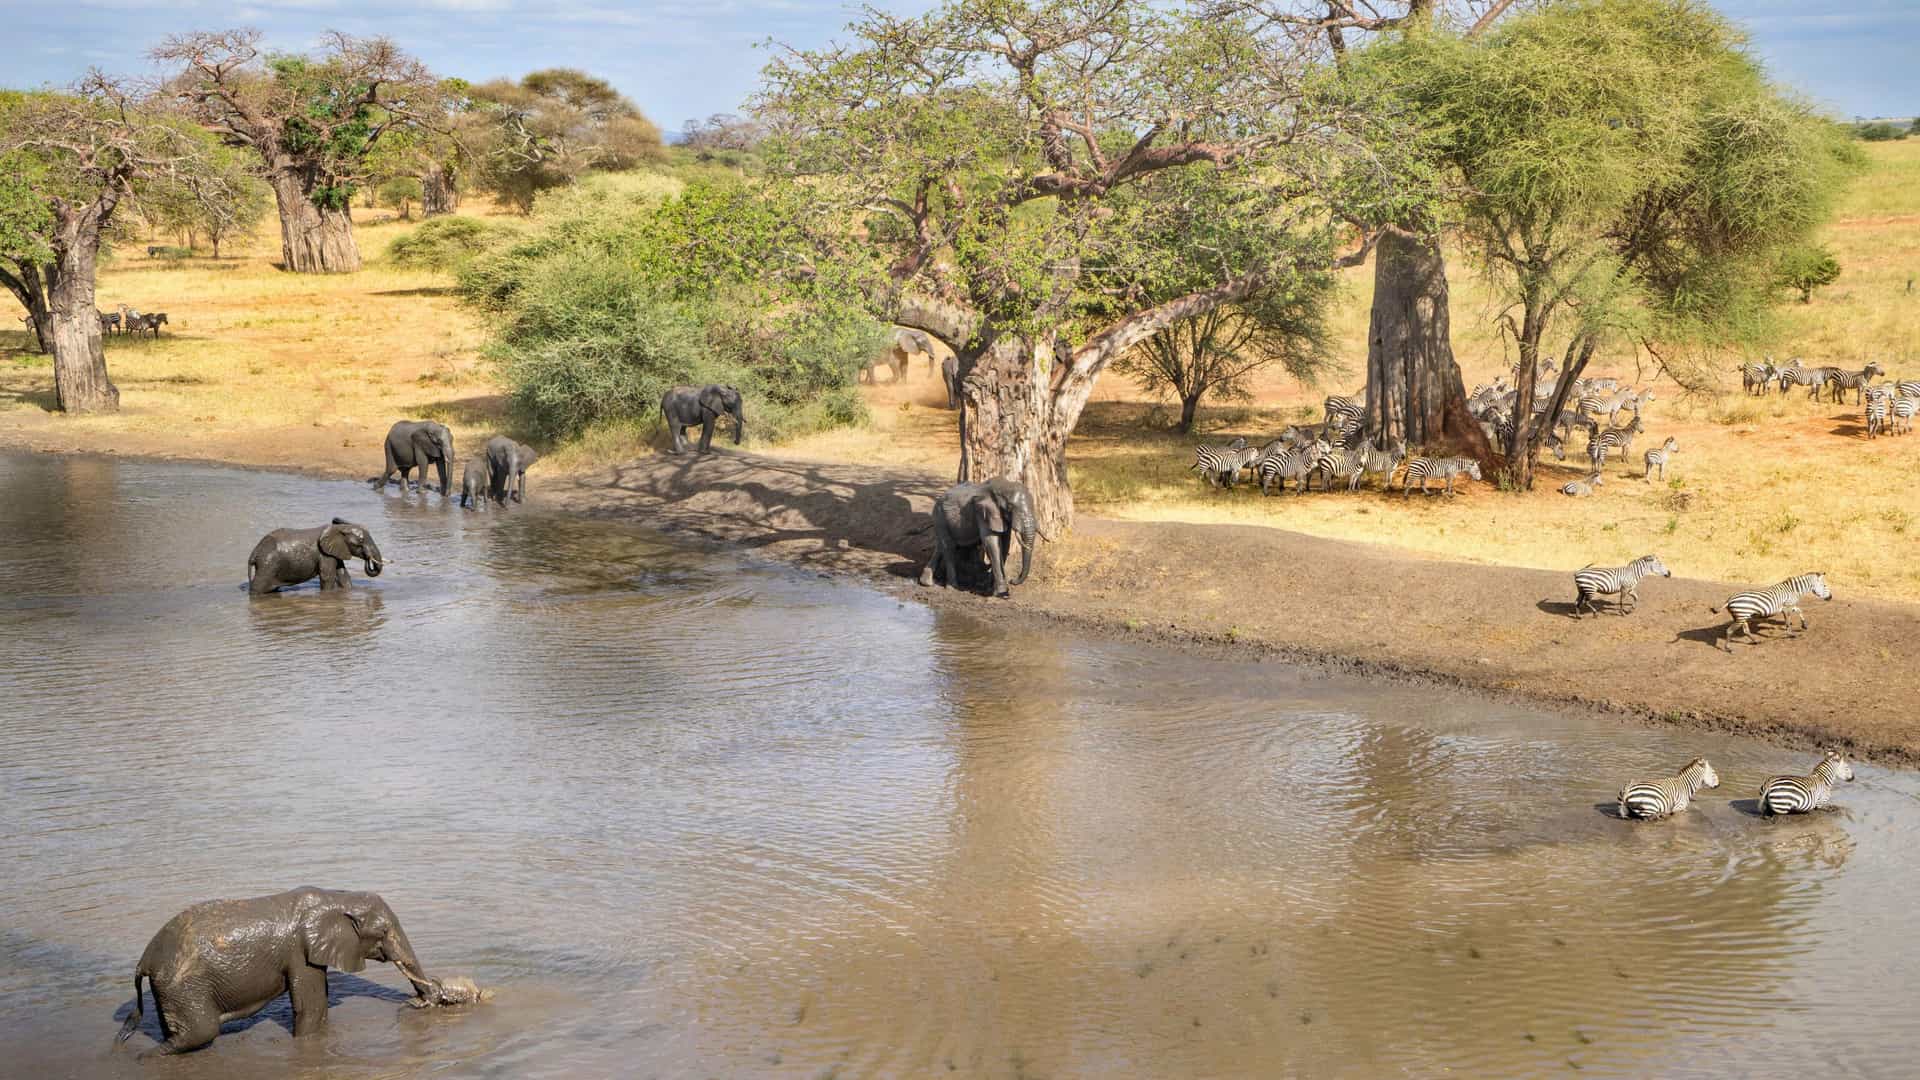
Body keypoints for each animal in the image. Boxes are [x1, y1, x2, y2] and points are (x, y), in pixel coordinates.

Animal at [116, 887, 477, 1056]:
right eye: (385, 932)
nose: (432, 997)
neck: (337, 897)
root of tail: (144, 960)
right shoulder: (301, 953)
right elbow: (311, 1007)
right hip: (183, 985)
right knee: (201, 1032)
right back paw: (144, 1058)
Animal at [247, 518, 384, 594]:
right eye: (360, 542)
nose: (368, 557)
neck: (340, 528)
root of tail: (254, 553)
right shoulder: (324, 554)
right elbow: (328, 577)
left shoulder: (334, 552)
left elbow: (343, 575)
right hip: (268, 564)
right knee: (257, 588)